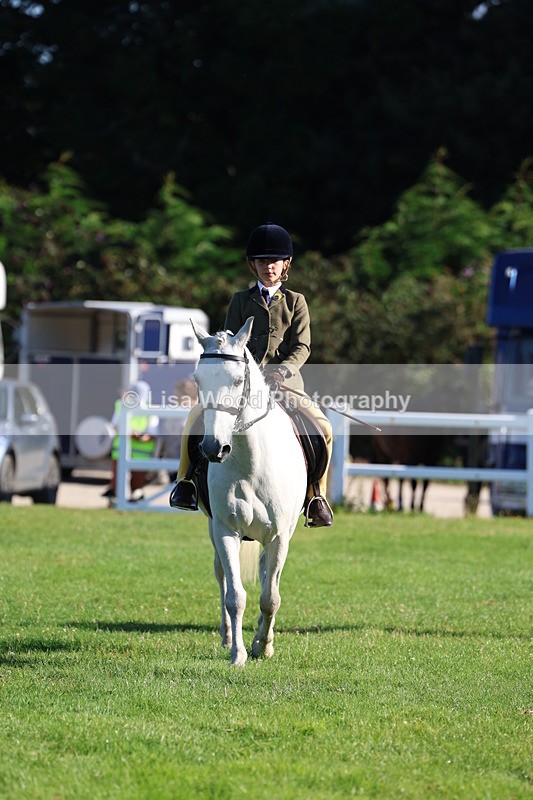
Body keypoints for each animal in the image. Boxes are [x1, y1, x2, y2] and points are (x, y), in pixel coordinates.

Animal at [190, 317, 307, 667]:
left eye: (239, 379)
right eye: (197, 379)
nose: (213, 448)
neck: (251, 463)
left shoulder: (280, 535)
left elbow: (270, 597)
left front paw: (263, 646)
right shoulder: (225, 530)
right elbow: (235, 596)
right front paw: (238, 653)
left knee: (269, 575)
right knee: (222, 575)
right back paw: (229, 635)